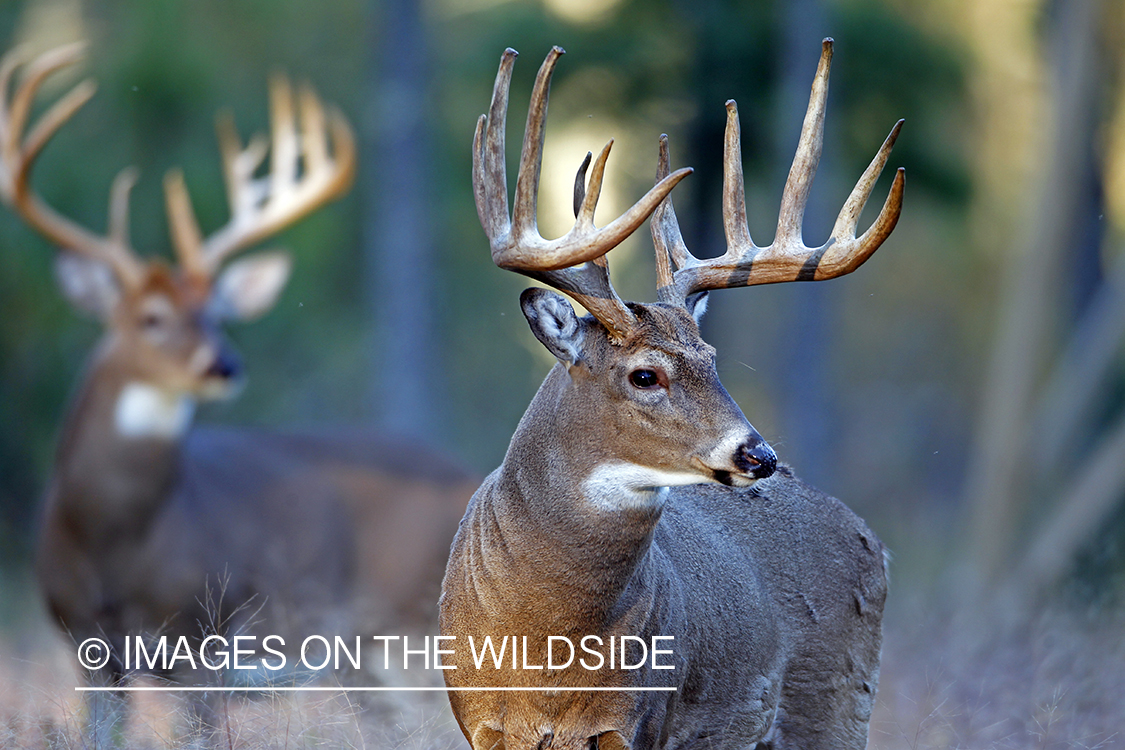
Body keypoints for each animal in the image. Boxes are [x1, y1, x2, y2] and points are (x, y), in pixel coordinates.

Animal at [0, 41, 477, 697]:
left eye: (218, 314)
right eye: (150, 317)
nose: (224, 365)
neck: (109, 542)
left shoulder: (203, 637)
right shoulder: (87, 645)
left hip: (410, 627)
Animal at [443, 42, 900, 750]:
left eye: (713, 361)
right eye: (645, 375)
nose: (758, 455)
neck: (546, 642)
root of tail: (873, 541)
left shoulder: (640, 718)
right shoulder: (482, 720)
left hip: (836, 701)